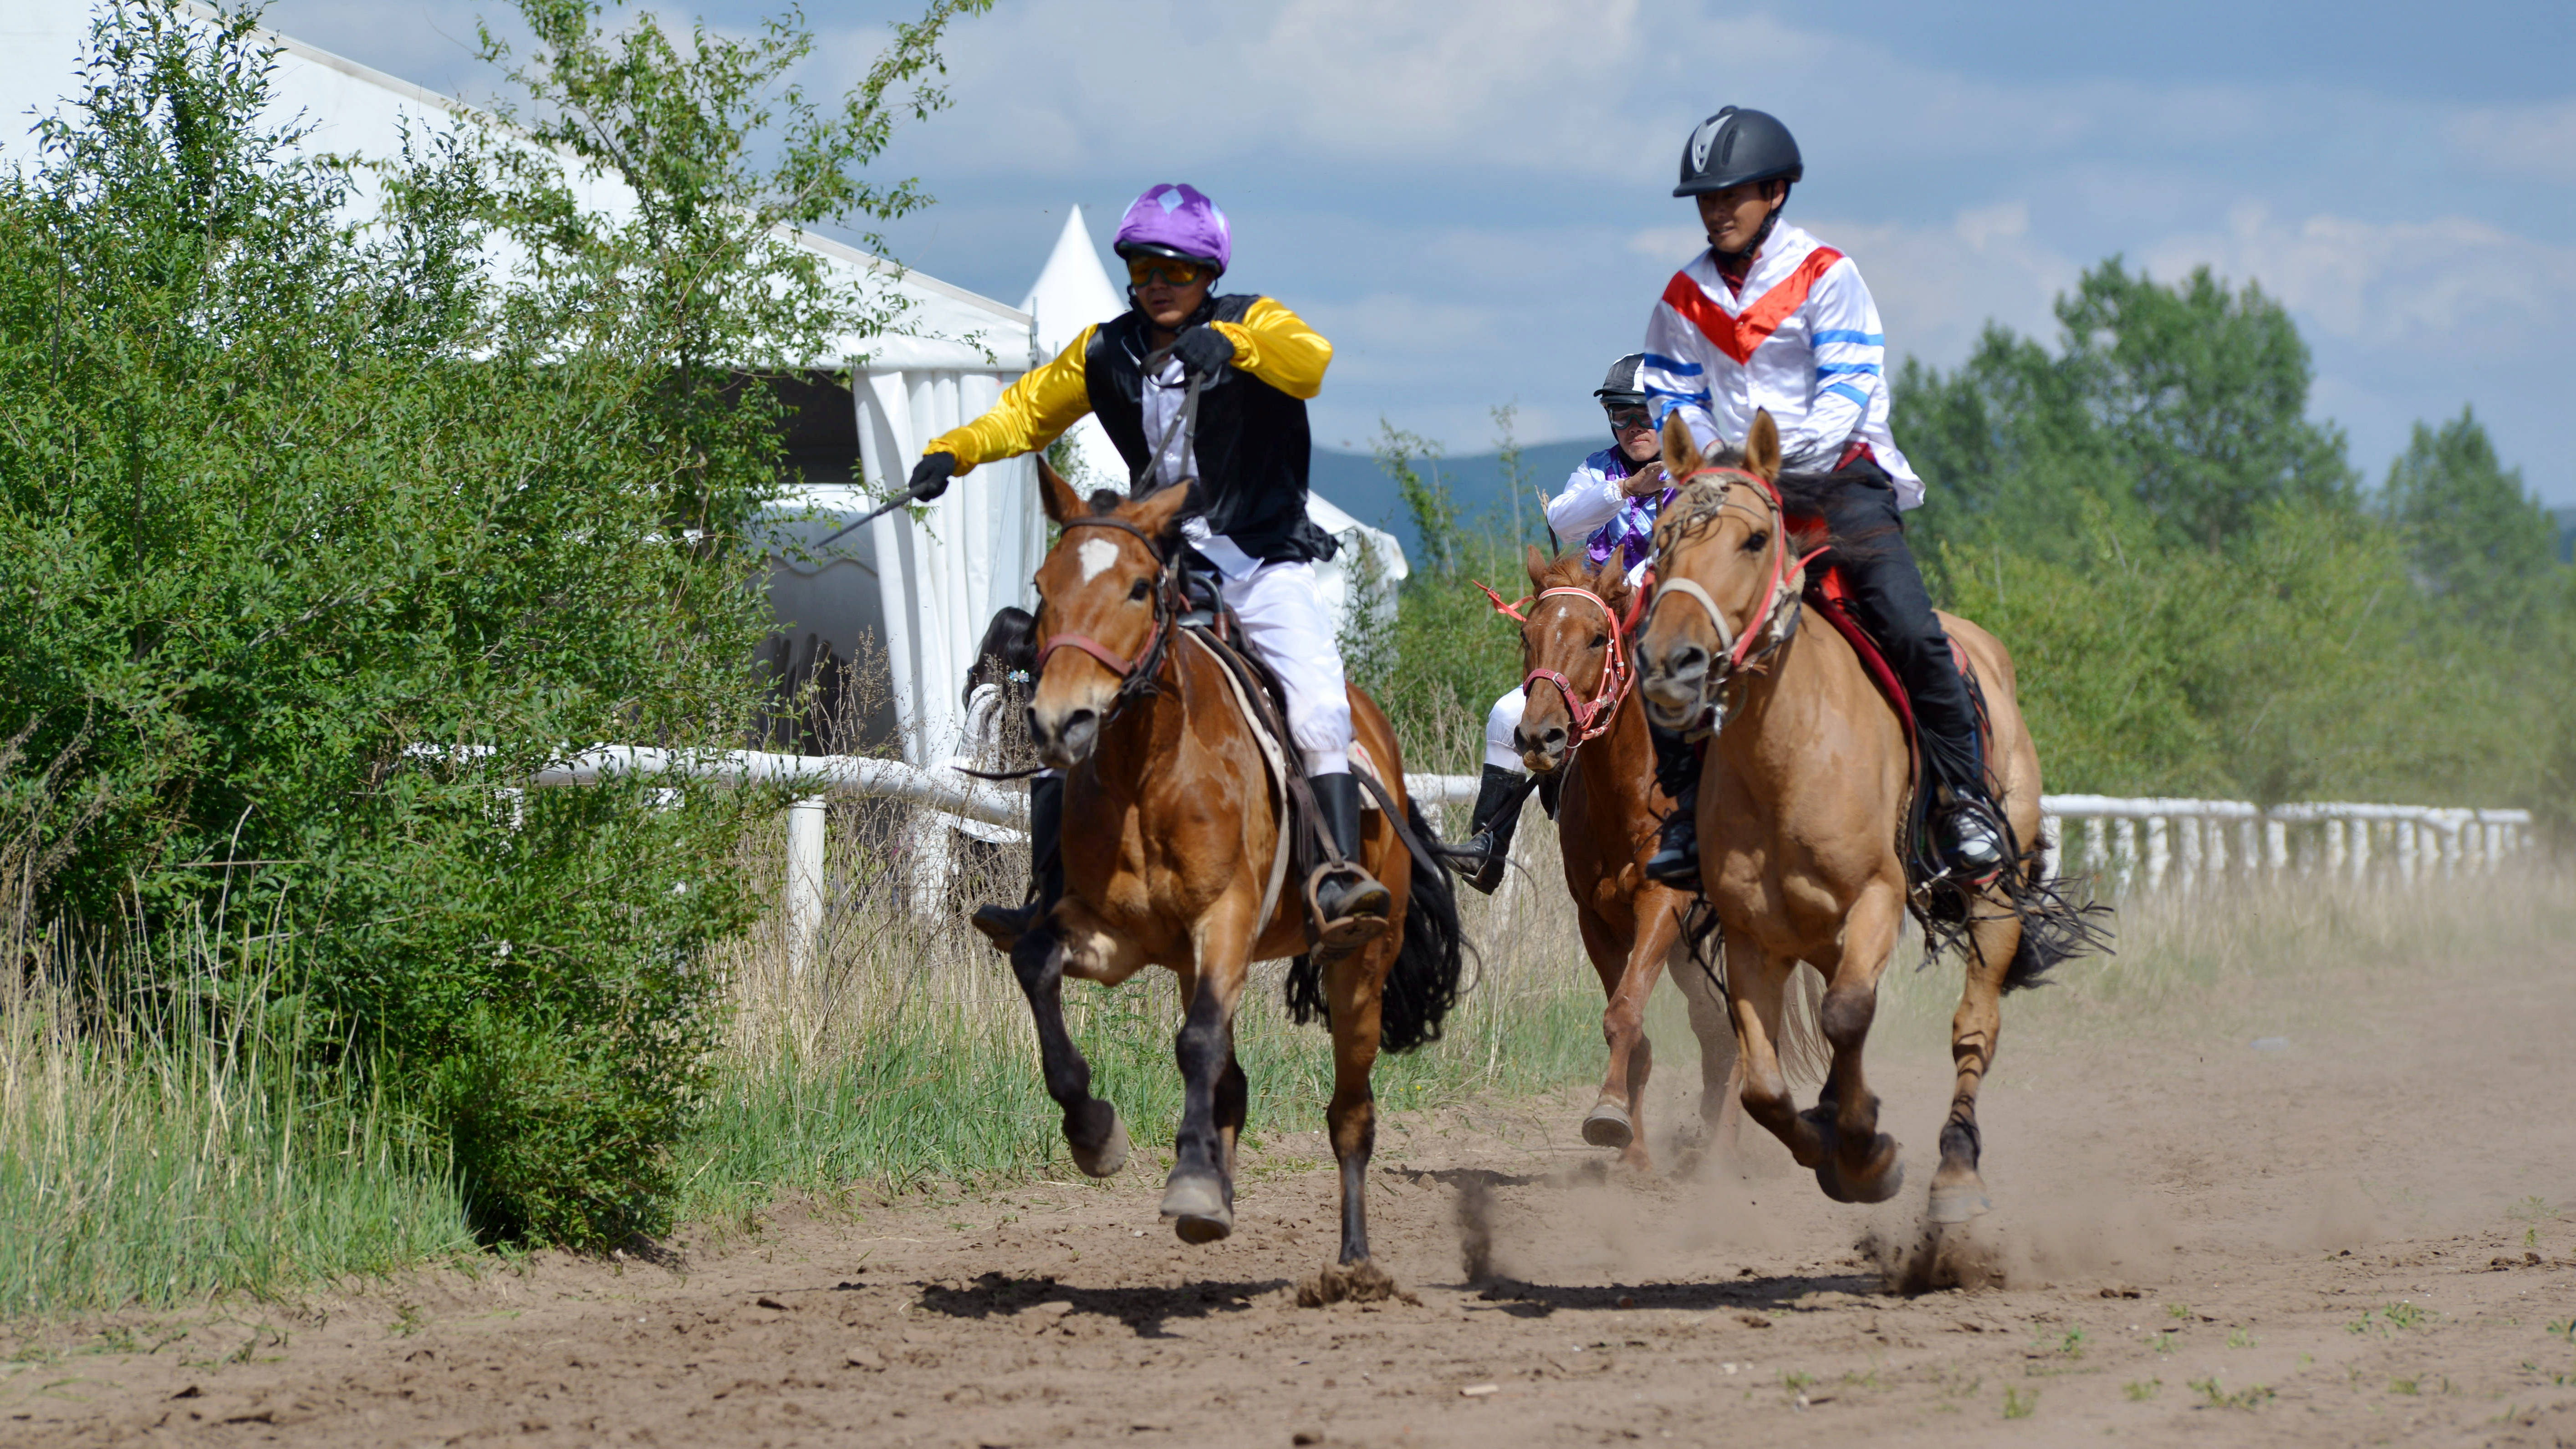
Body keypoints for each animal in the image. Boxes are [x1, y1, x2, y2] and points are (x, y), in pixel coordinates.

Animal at [1005, 456, 1463, 1258]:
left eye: (1137, 586)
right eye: (1042, 584)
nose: (1062, 720)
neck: (1148, 772)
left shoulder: (1225, 921)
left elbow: (1196, 1043)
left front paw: (1186, 1176)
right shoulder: (1114, 934)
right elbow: (1037, 963)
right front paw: (1093, 1131)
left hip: (1359, 965)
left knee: (1350, 1112)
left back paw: (1352, 1256)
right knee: (1233, 1079)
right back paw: (1213, 1194)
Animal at [1494, 546, 1751, 1165]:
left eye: (1595, 638)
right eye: (1527, 635)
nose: (1539, 736)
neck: (1631, 794)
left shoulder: (1662, 902)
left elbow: (1627, 1009)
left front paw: (1609, 1112)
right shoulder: (1597, 918)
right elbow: (1629, 1023)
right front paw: (1629, 1146)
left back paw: (1725, 1153)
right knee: (1713, 1027)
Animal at [1638, 407, 2081, 1217]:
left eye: (1755, 538)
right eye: (1660, 536)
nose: (1669, 662)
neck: (1787, 755)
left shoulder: (1876, 897)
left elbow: (1846, 1016)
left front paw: (1867, 1155)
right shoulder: (1753, 934)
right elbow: (1763, 1083)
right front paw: (1833, 1140)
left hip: (1994, 899)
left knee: (1973, 1027)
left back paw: (1956, 1172)